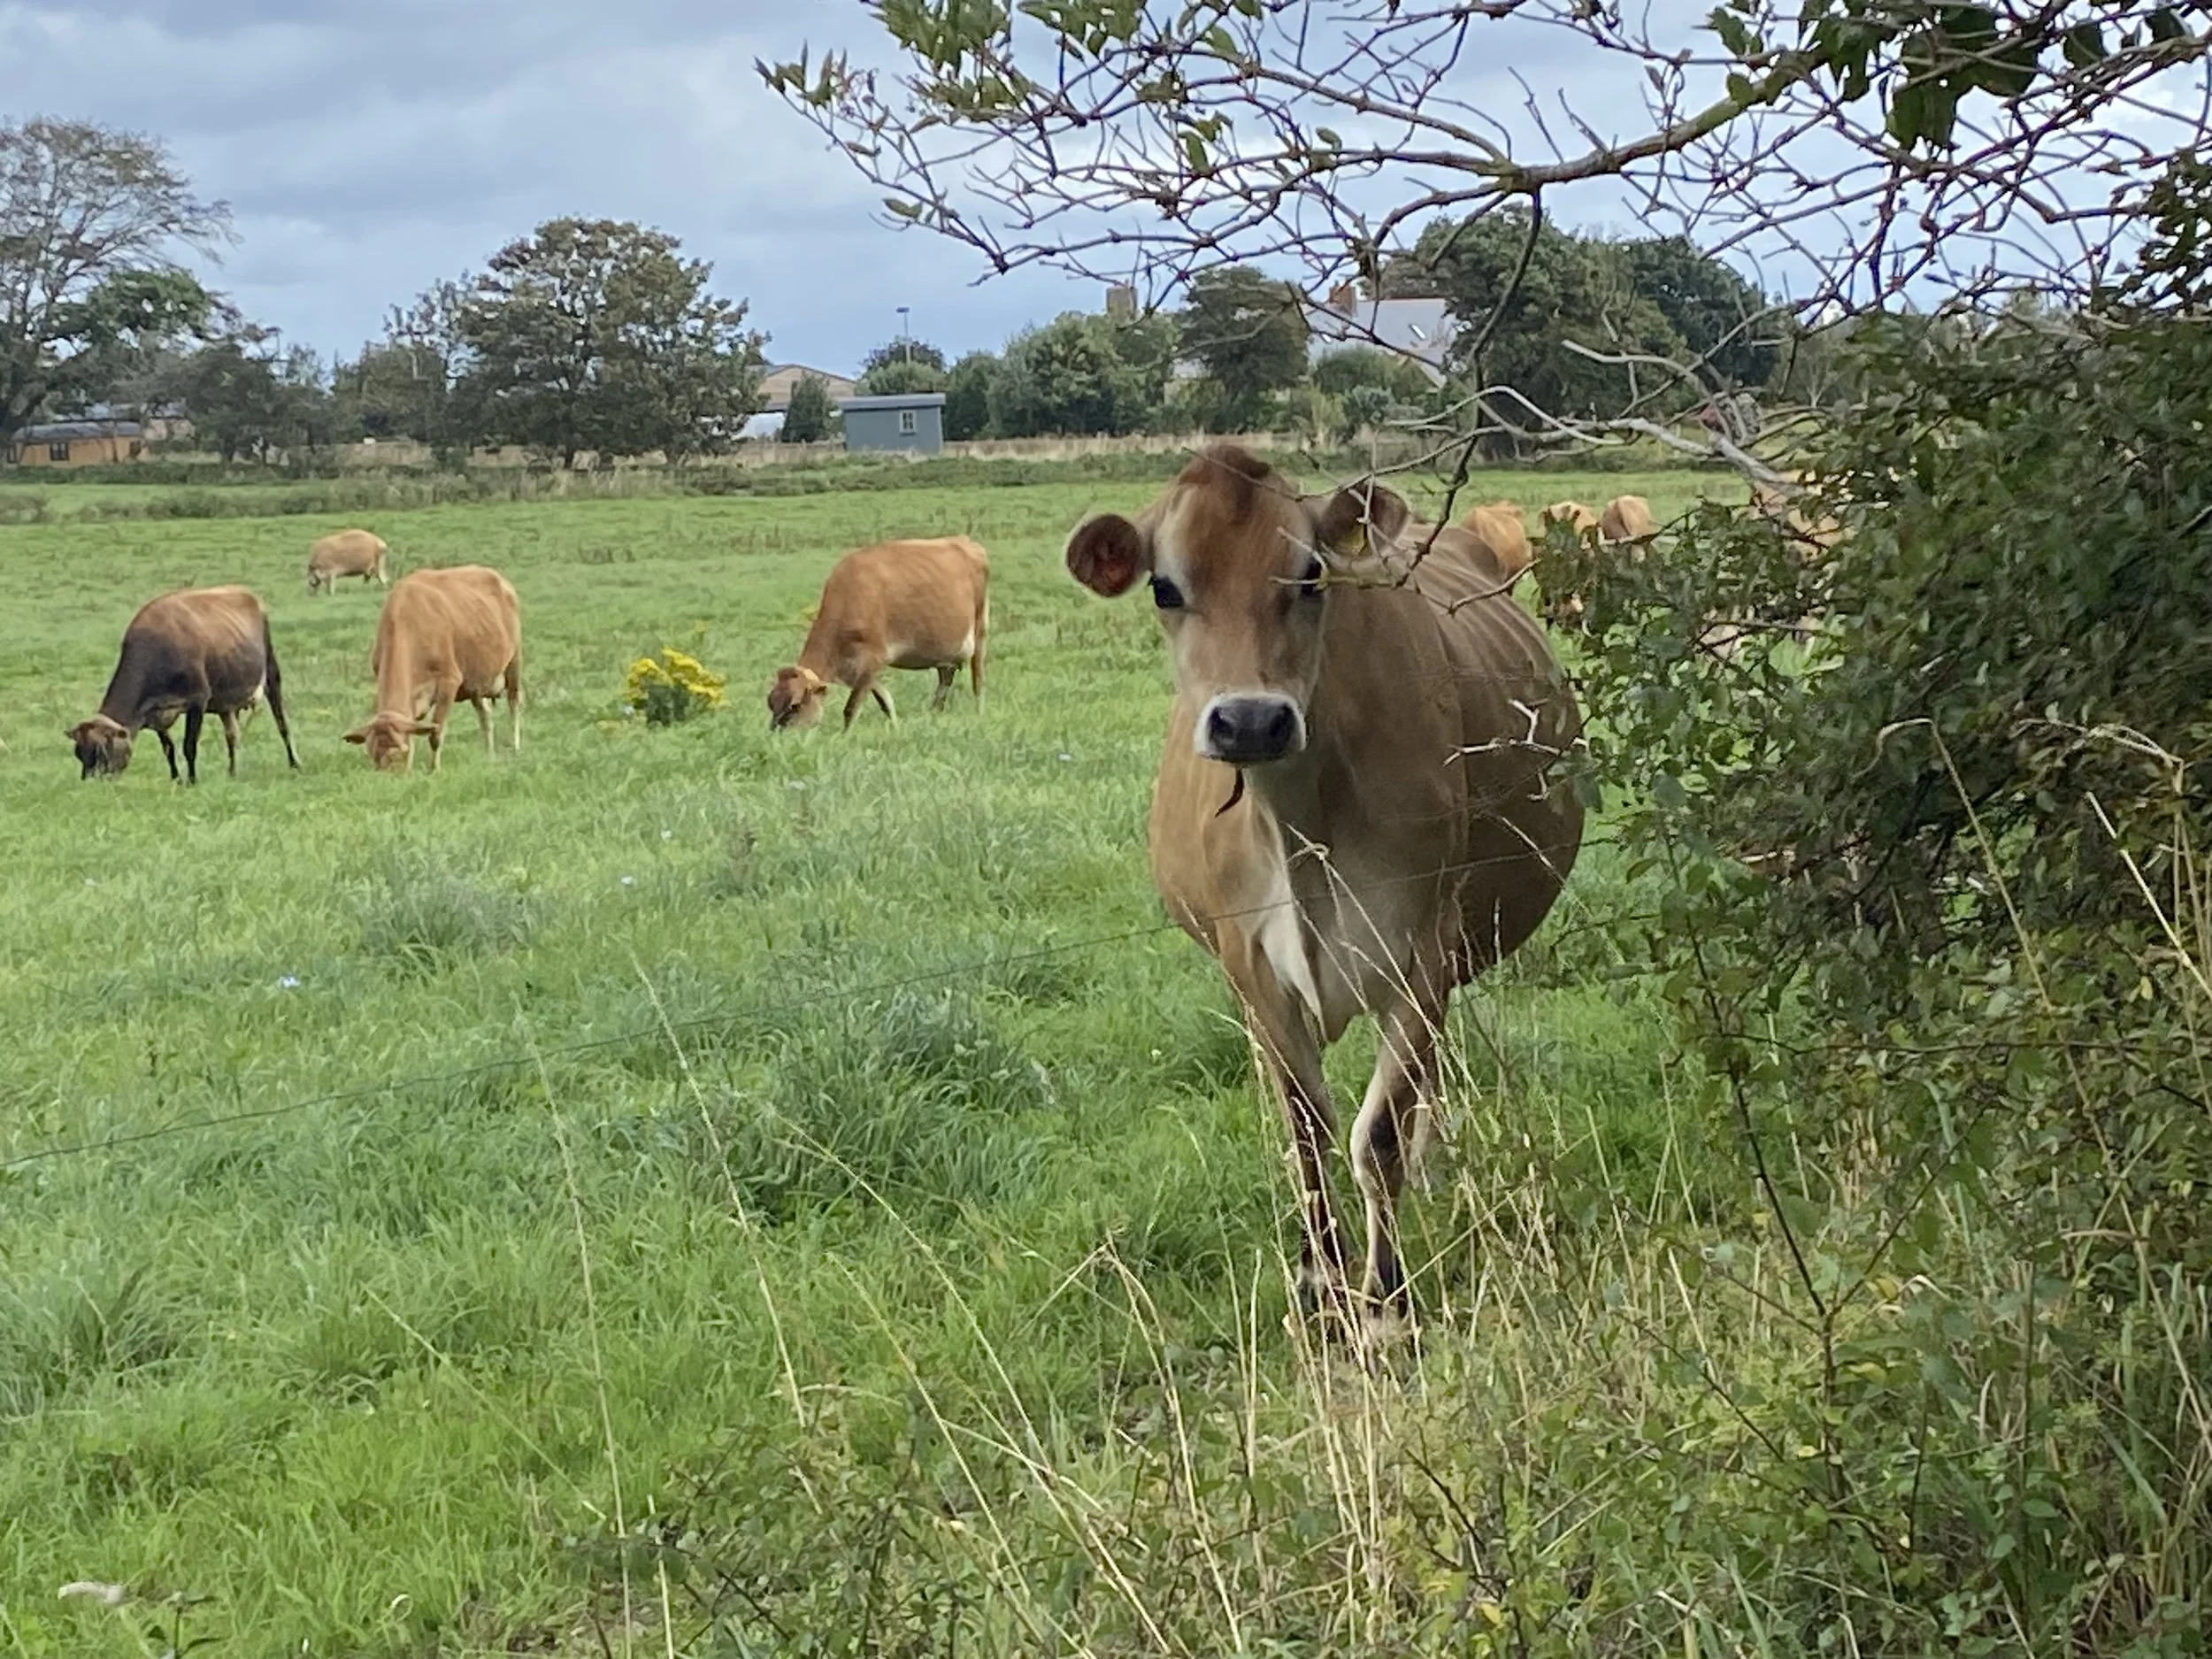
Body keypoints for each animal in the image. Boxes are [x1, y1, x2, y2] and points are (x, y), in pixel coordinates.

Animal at [67, 586, 300, 784]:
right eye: (79, 753)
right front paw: (176, 779)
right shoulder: (155, 713)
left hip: (271, 672)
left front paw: (192, 781)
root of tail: (246, 592)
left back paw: (294, 764)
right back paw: (233, 772)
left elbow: (189, 746)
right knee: (232, 735)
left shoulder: (198, 700)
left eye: (101, 752)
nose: (90, 784)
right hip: (226, 700)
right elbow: (168, 748)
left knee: (282, 724)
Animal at [343, 566, 522, 772]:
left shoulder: (449, 682)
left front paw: (434, 770)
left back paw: (516, 747)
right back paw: (489, 754)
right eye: (372, 756)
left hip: (514, 661)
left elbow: (436, 733)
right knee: (485, 714)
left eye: (402, 752)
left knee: (514, 703)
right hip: (476, 679)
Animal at [768, 536, 989, 730]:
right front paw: (896, 729)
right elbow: (886, 702)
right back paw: (934, 714)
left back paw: (978, 712)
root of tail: (965, 541)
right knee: (944, 681)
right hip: (945, 650)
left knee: (977, 679)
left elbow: (851, 708)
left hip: (979, 630)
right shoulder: (860, 670)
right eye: (771, 702)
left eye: (794, 705)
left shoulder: (873, 659)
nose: (776, 735)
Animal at [1064, 445, 1585, 1338]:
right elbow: (1305, 1126)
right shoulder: (1250, 965)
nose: (1249, 721)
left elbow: (1378, 1134)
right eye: (1164, 587)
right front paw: (1322, 1276)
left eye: (1310, 574)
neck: (1297, 819)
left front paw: (1387, 1301)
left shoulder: (1423, 942)